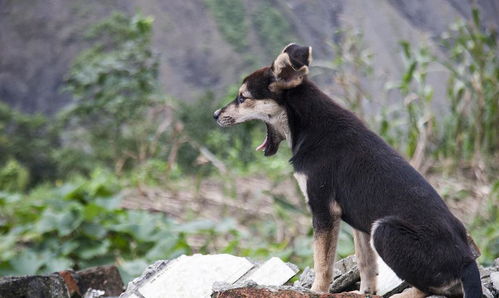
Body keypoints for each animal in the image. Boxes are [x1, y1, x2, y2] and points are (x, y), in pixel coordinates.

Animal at [213, 44, 482, 298]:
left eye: (242, 98)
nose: (214, 115)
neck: (309, 124)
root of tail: (467, 262)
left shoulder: (324, 209)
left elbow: (322, 263)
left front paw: (316, 291)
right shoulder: (358, 222)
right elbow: (365, 263)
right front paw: (365, 293)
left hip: (384, 230)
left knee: (434, 288)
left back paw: (404, 294)